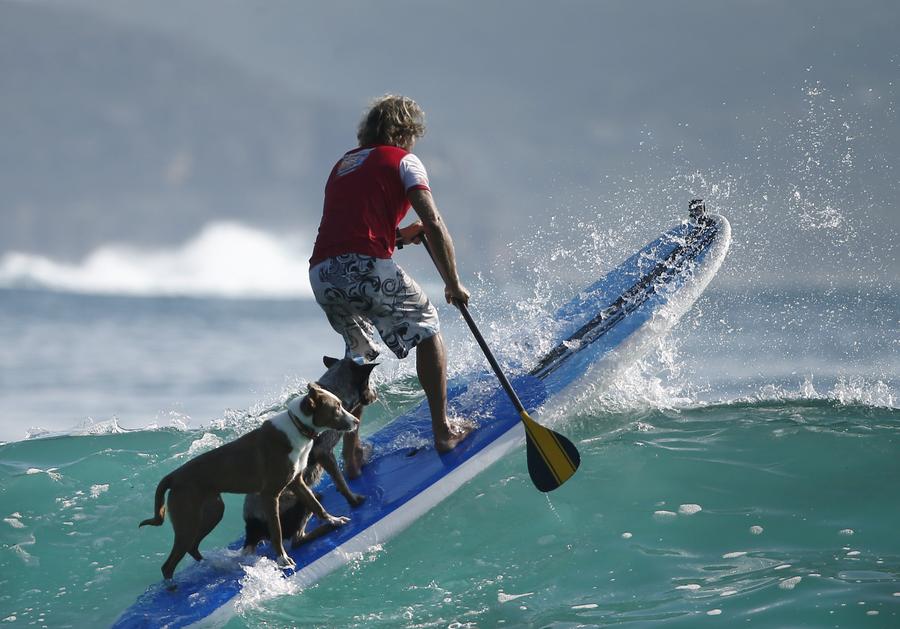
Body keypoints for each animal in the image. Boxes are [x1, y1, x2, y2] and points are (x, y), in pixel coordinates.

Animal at [140, 372, 362, 584]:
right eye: (337, 408)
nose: (357, 421)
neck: (298, 427)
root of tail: (174, 476)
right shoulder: (270, 495)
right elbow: (276, 531)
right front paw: (282, 559)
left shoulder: (297, 483)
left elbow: (317, 505)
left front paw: (334, 520)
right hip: (188, 521)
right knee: (168, 565)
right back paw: (172, 586)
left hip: (212, 511)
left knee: (192, 547)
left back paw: (211, 565)